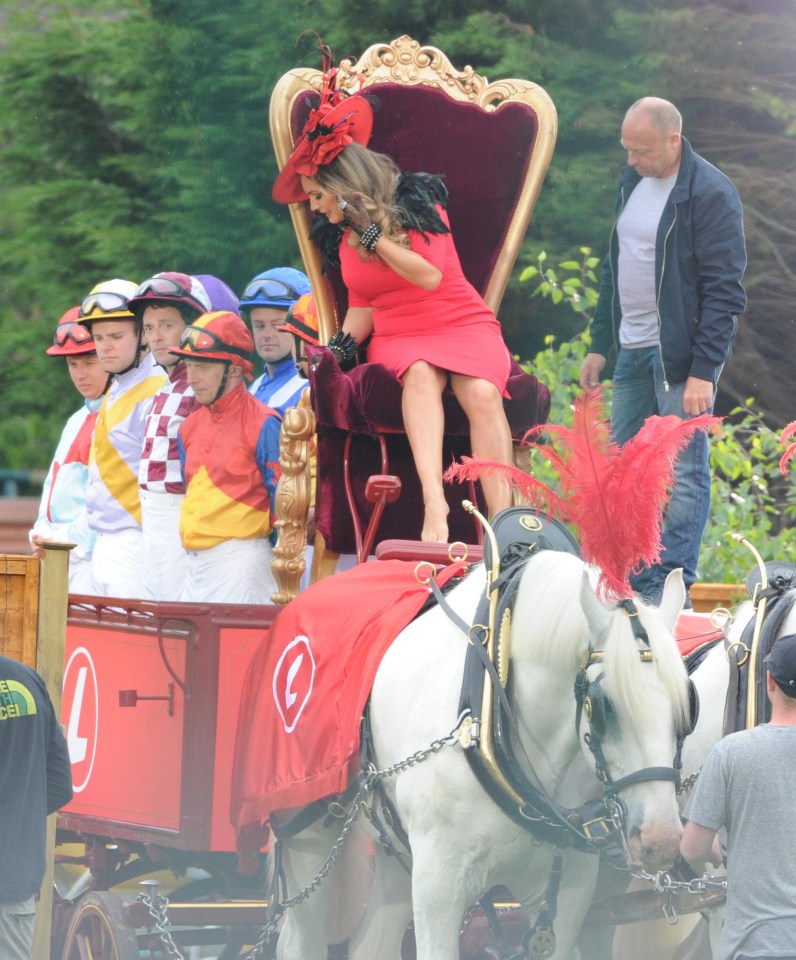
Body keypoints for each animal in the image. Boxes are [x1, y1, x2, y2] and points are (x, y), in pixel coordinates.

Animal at [272, 548, 692, 960]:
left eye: (688, 705)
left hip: (396, 847)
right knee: (300, 938)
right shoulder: (438, 884)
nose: (661, 839)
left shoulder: (568, 891)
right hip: (305, 832)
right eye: (602, 706)